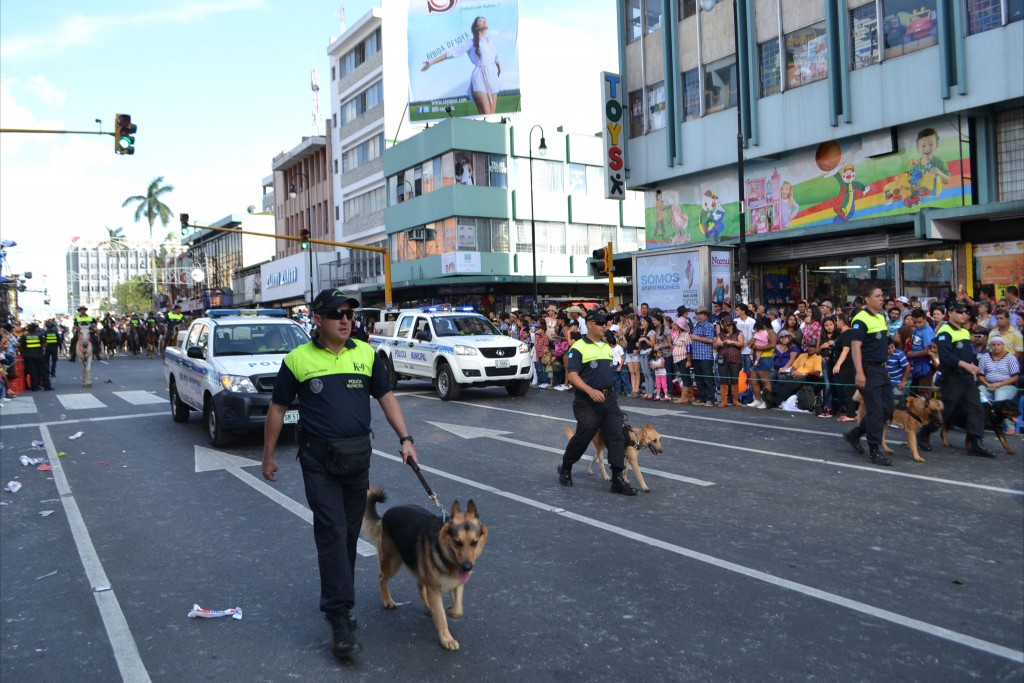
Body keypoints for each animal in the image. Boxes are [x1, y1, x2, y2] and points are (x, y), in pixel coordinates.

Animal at [262, 290, 417, 663]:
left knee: (349, 533)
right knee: (340, 535)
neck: (332, 348)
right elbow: (277, 407)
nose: (348, 321)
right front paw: (340, 623)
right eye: (335, 313)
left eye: (347, 313)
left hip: (355, 489)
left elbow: (385, 395)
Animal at [360, 483, 487, 651]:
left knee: (420, 586)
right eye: (457, 542)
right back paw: (387, 600)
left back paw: (429, 608)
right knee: (382, 577)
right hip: (392, 563)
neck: (445, 554)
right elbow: (441, 617)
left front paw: (449, 611)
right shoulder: (435, 590)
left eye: (474, 542)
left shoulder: (457, 585)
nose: (467, 568)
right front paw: (446, 638)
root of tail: (387, 514)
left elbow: (458, 610)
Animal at [557, 313, 634, 493]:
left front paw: (619, 482)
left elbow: (616, 441)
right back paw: (564, 473)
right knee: (579, 440)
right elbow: (574, 374)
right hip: (587, 424)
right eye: (599, 321)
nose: (606, 328)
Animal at [917, 301, 995, 456]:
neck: (957, 327)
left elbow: (976, 412)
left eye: (965, 311)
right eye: (960, 311)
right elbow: (949, 355)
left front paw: (979, 445)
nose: (965, 314)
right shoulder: (944, 339)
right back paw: (922, 439)